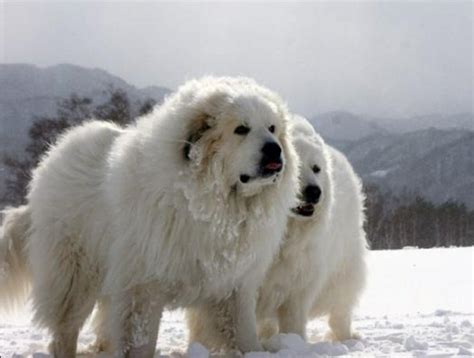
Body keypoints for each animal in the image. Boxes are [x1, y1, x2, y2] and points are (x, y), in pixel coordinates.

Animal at [0, 77, 296, 356]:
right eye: (241, 129)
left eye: (272, 128)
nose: (274, 149)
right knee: (66, 329)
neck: (214, 206)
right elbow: (140, 339)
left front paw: (255, 352)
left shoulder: (234, 285)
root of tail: (52, 157)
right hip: (77, 275)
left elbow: (244, 333)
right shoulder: (143, 286)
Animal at [187, 115, 368, 350]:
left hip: (343, 262)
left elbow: (293, 317)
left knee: (341, 305)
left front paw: (295, 343)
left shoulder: (296, 281)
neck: (284, 233)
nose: (314, 192)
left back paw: (346, 336)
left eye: (316, 168)